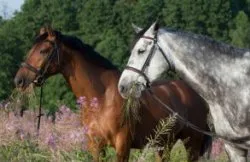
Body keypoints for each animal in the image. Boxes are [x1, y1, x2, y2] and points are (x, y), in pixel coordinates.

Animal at [13, 27, 209, 161]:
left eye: (43, 51)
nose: (19, 80)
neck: (102, 97)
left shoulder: (122, 146)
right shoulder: (95, 146)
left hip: (191, 143)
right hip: (164, 144)